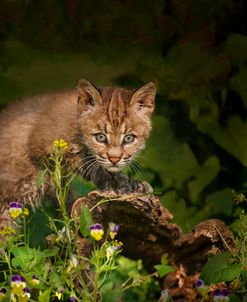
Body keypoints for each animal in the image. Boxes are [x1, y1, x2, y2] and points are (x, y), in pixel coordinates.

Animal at [0, 80, 155, 211]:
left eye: (129, 138)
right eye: (100, 137)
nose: (114, 159)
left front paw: (131, 184)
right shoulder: (39, 144)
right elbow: (85, 161)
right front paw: (116, 183)